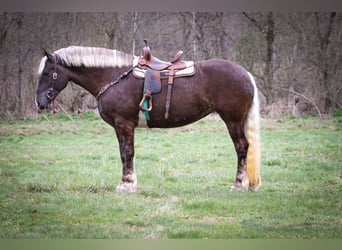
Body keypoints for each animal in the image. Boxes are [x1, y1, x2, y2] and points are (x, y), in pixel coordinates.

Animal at [34, 46, 260, 192]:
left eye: (47, 73)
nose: (39, 102)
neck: (113, 75)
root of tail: (246, 74)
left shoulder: (124, 123)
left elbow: (127, 152)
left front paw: (126, 184)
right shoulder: (120, 126)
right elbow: (125, 153)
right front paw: (128, 182)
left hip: (232, 120)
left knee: (241, 147)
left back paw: (239, 184)